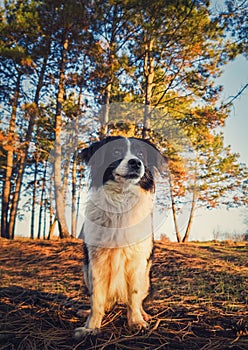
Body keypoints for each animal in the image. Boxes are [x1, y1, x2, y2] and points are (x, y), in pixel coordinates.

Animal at [75, 135, 165, 338]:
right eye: (116, 151)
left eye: (141, 154)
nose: (136, 163)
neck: (121, 201)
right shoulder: (96, 261)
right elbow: (97, 298)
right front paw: (91, 327)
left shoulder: (137, 260)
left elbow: (134, 295)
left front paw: (136, 321)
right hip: (85, 270)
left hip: (147, 276)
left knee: (139, 299)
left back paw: (143, 314)